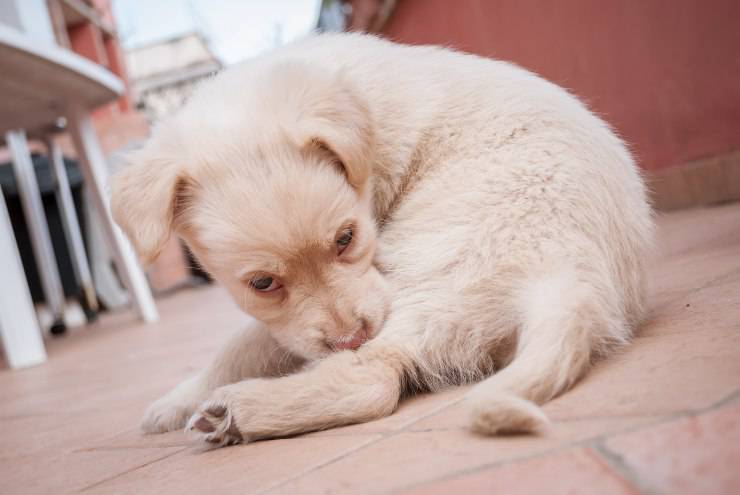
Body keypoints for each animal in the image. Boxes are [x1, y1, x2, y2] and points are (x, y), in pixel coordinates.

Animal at [111, 34, 652, 446]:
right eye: (262, 283)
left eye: (346, 239)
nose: (350, 337)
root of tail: (571, 273)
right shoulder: (289, 321)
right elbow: (243, 344)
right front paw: (172, 402)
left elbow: (246, 346)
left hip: (431, 272)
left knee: (370, 380)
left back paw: (240, 410)